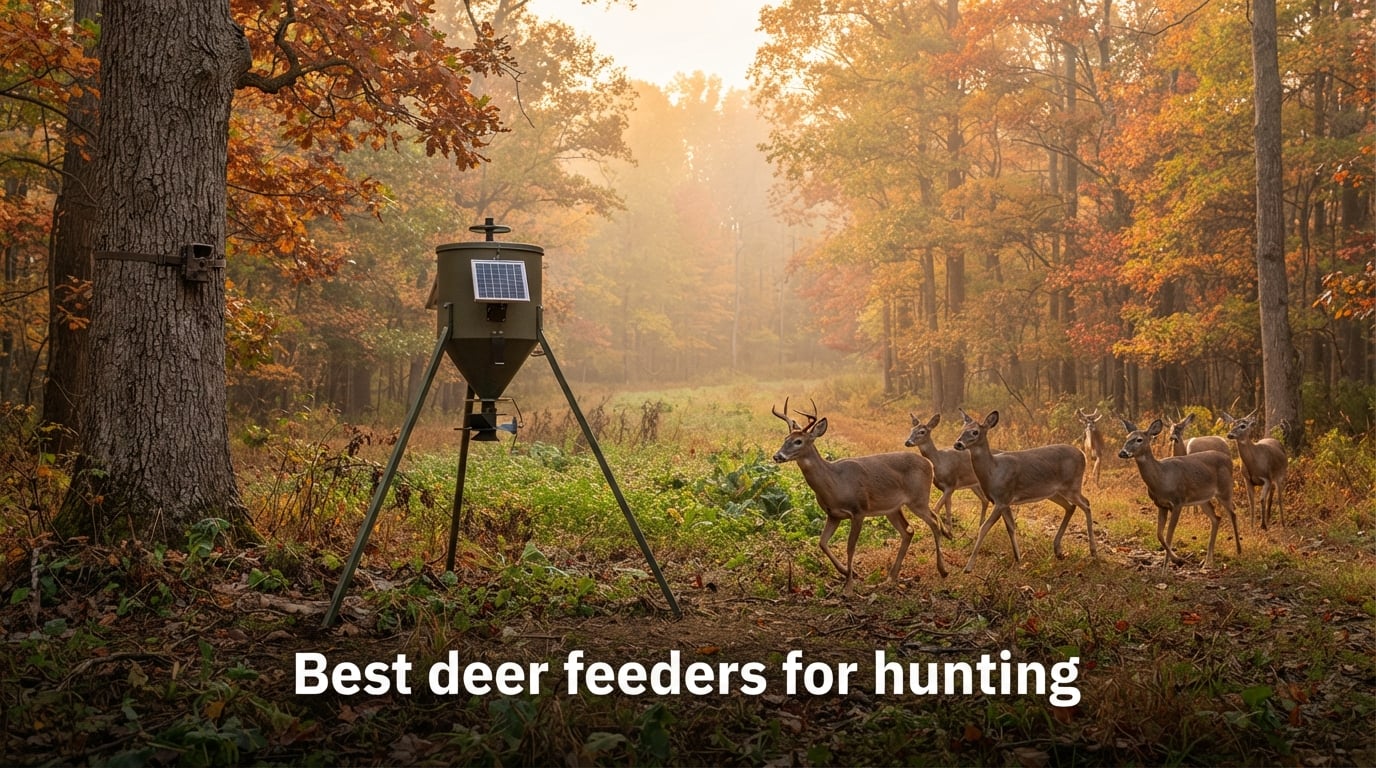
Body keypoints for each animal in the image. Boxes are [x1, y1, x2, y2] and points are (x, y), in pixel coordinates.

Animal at [771, 399, 948, 594]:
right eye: (785, 439)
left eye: (798, 441)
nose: (777, 456)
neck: (835, 482)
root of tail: (929, 463)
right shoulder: (833, 514)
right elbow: (822, 542)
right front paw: (847, 572)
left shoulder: (859, 510)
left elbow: (850, 547)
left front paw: (848, 587)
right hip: (892, 508)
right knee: (908, 531)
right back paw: (890, 579)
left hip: (918, 498)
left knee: (934, 522)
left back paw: (942, 570)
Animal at [952, 409, 1097, 572]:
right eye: (962, 429)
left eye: (975, 432)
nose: (958, 443)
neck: (993, 471)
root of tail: (1083, 454)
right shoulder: (1005, 502)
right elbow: (1011, 527)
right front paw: (1018, 559)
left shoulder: (1002, 499)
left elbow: (984, 527)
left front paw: (968, 567)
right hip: (1054, 492)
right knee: (1071, 507)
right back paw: (1058, 550)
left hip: (1072, 485)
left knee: (1086, 504)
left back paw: (1093, 551)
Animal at [1118, 418, 1240, 570]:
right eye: (1127, 437)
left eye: (1139, 439)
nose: (1122, 453)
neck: (1162, 478)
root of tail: (1228, 459)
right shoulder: (1161, 504)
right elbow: (1160, 535)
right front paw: (1175, 560)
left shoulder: (1178, 502)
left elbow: (1169, 536)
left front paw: (1170, 565)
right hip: (1202, 499)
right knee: (1216, 518)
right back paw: (1207, 561)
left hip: (1225, 489)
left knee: (1233, 514)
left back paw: (1238, 551)